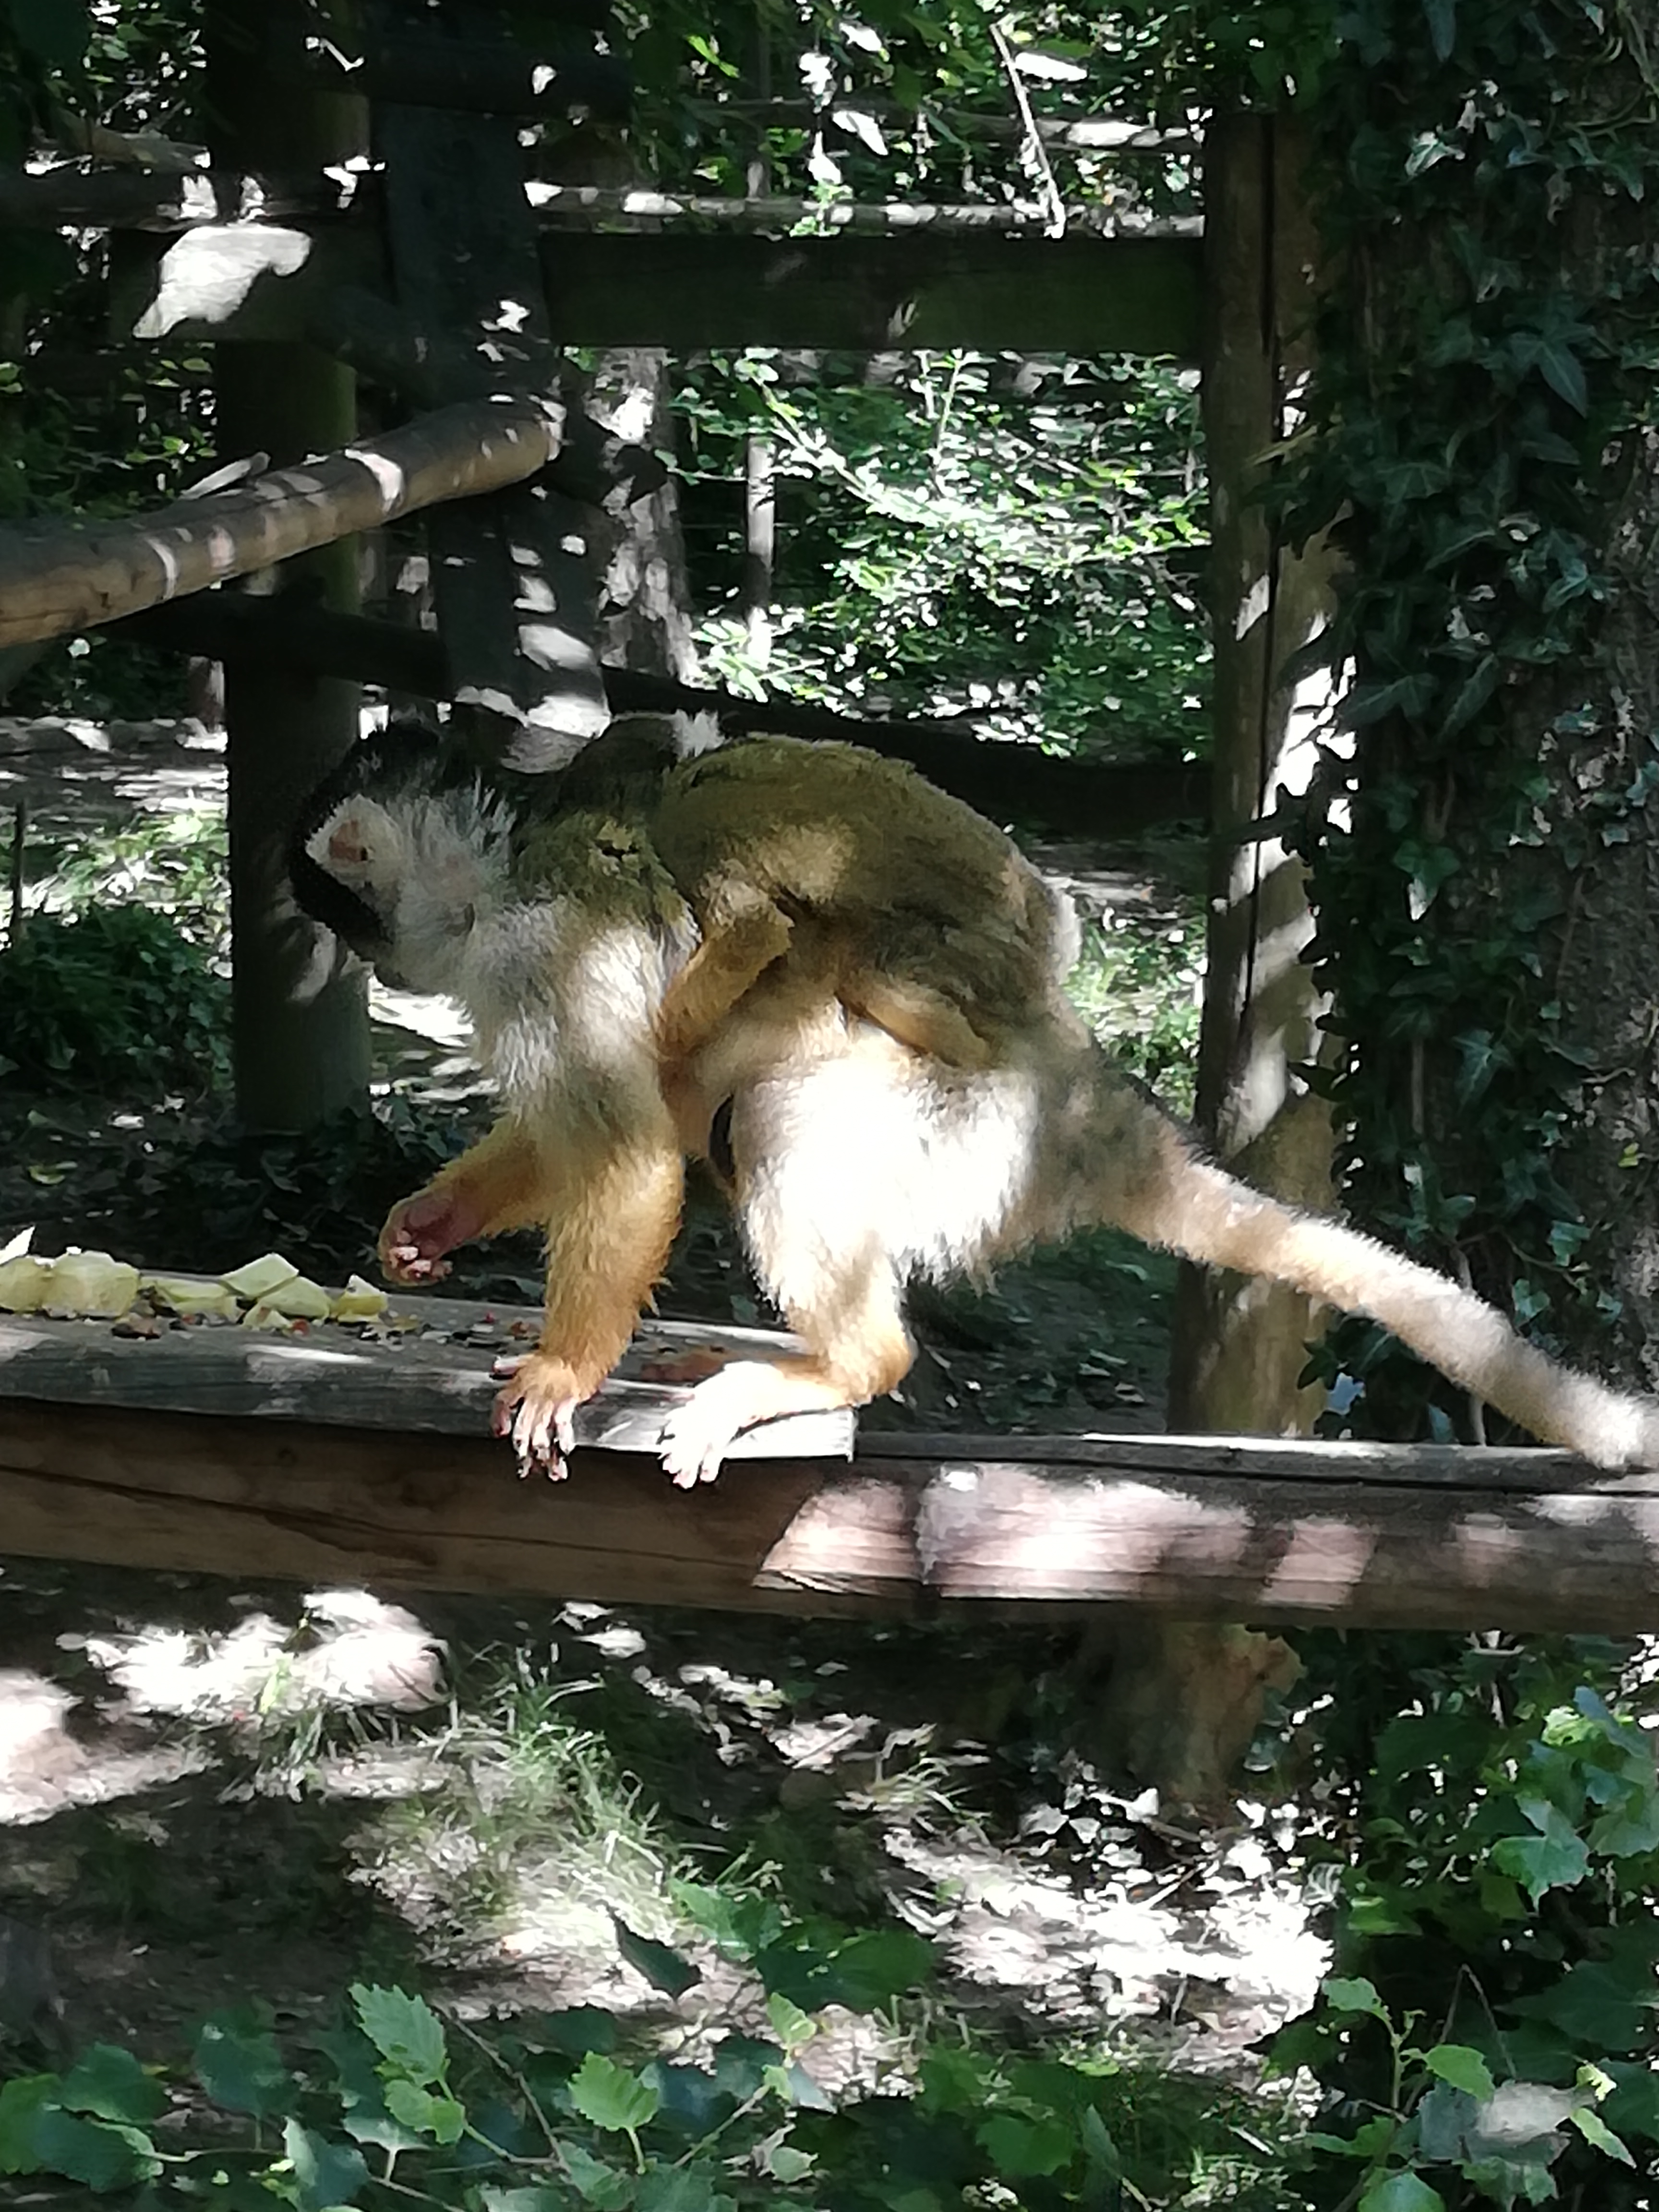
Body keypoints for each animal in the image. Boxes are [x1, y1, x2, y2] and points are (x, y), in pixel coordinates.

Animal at [291, 713, 1659, 1487]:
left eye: (352, 920)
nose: (380, 970)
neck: (511, 856)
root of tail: (1081, 1091)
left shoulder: (545, 943)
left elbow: (629, 1148)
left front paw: (567, 1370)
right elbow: (620, 1123)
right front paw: (432, 1224)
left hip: (969, 1118)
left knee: (776, 1109)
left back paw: (840, 1364)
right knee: (722, 1095)